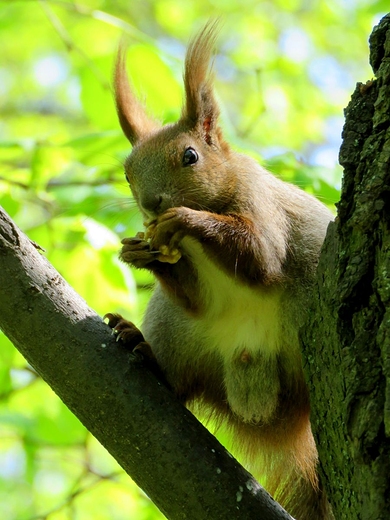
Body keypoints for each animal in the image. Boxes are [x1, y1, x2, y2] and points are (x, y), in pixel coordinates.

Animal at [104, 21, 336, 520]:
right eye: (128, 172)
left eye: (190, 156)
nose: (152, 204)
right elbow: (195, 297)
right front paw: (139, 252)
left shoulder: (263, 208)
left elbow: (261, 260)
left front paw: (185, 219)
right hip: (178, 333)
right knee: (178, 378)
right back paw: (142, 348)